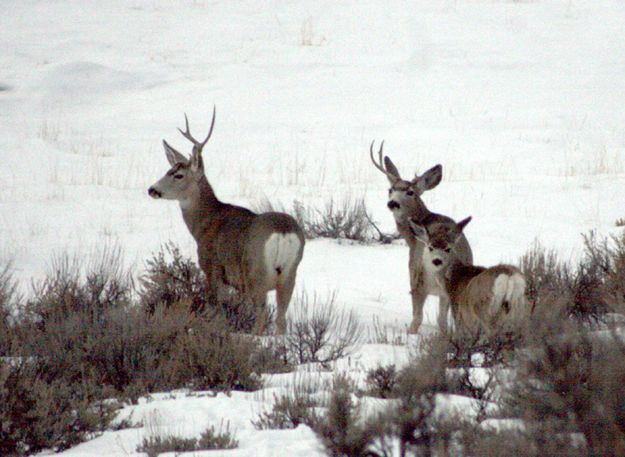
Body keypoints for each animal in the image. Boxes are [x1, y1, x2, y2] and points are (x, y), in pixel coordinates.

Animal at [146, 108, 302, 334]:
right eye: (168, 171)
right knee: (281, 320)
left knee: (262, 317)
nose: (152, 189)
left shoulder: (213, 269)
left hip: (257, 274)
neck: (205, 223)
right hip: (290, 274)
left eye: (179, 175)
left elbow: (218, 312)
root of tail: (283, 232)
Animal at [368, 141, 470, 334]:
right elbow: (442, 321)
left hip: (419, 279)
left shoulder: (413, 274)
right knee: (447, 320)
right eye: (390, 189)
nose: (392, 203)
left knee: (418, 318)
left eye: (410, 192)